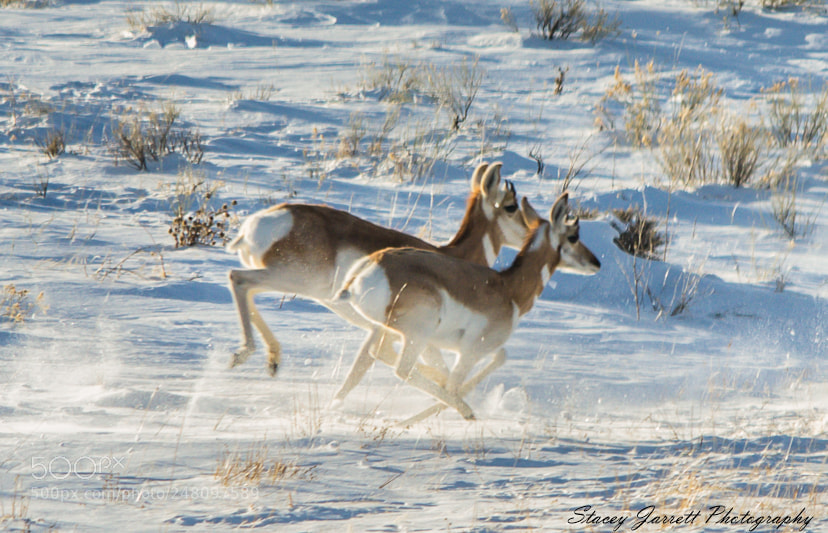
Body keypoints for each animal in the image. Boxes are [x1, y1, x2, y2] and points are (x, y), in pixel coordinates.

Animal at [227, 162, 529, 382]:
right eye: (512, 206)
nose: (531, 233)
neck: (453, 255)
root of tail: (255, 225)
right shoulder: (416, 338)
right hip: (294, 279)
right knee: (237, 278)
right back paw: (245, 353)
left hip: (286, 280)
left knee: (247, 288)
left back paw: (271, 360)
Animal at [336, 193, 600, 421]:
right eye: (574, 235)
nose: (596, 262)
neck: (509, 289)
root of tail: (367, 268)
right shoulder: (471, 352)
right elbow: (455, 385)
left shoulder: (473, 348)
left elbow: (501, 357)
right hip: (417, 335)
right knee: (403, 370)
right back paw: (462, 411)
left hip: (392, 331)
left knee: (378, 353)